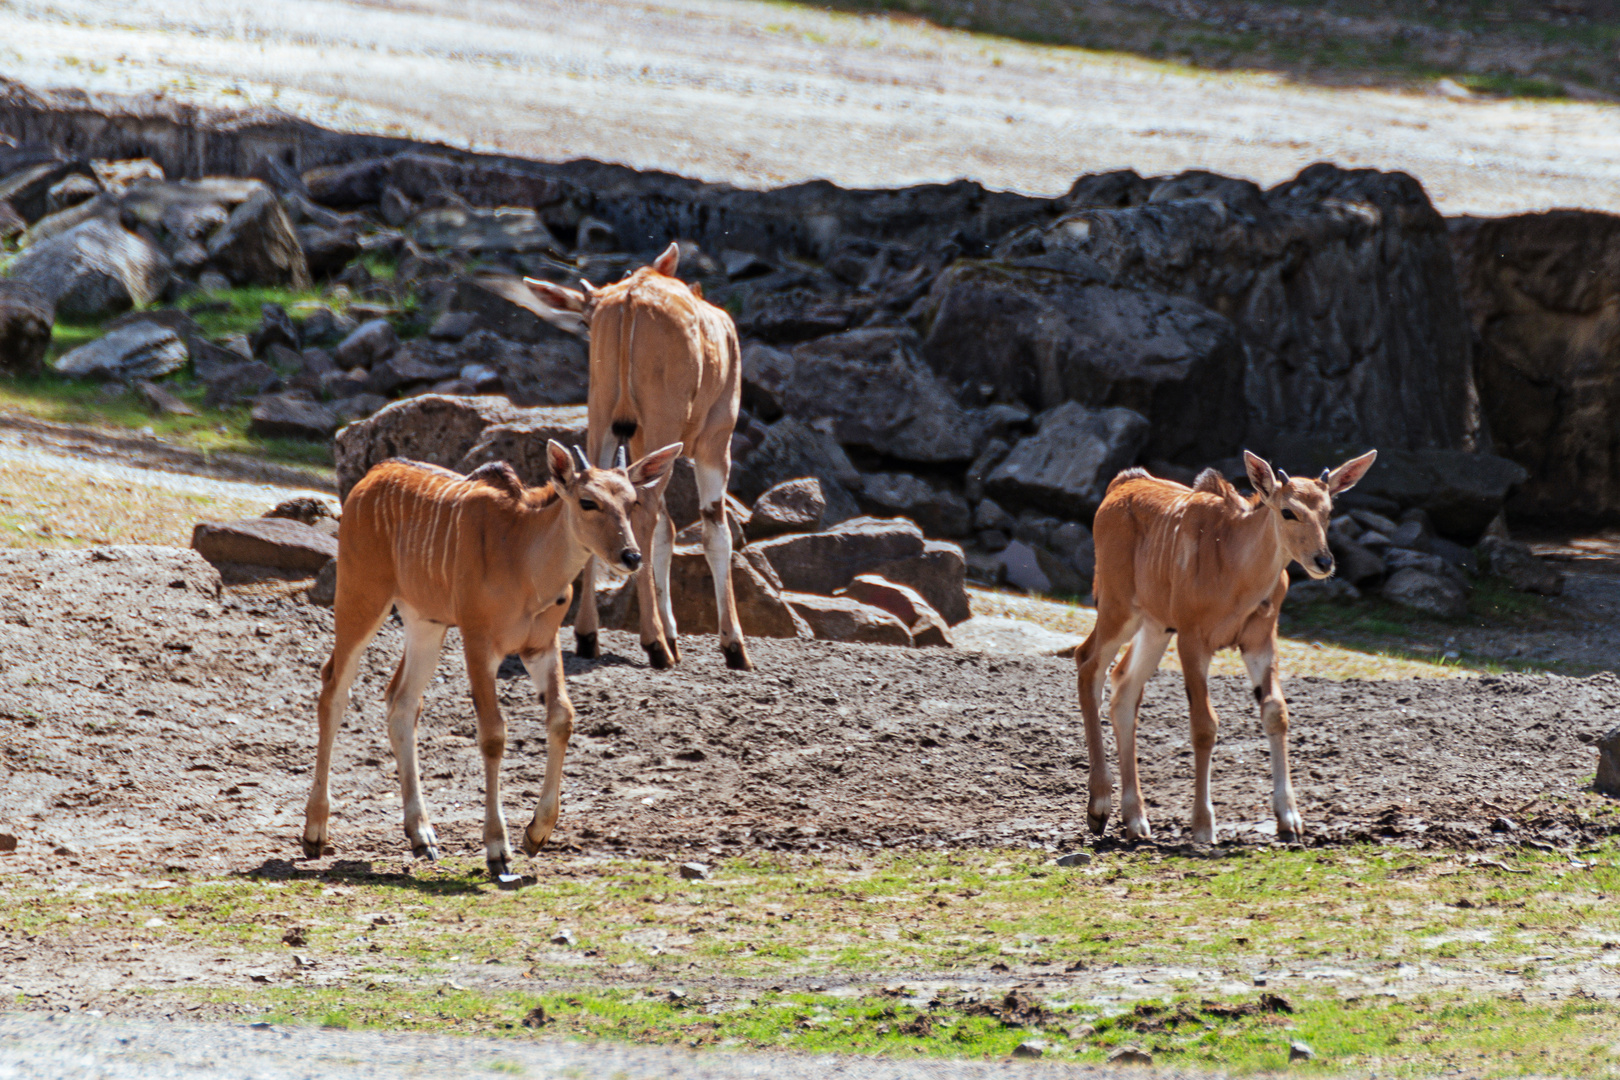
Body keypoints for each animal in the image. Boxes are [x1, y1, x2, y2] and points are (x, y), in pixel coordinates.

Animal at [301, 440, 680, 880]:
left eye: (632, 501)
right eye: (588, 501)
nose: (631, 556)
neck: (524, 560)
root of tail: (371, 478)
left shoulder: (541, 646)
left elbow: (562, 717)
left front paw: (536, 834)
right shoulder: (479, 642)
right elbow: (494, 734)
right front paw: (498, 848)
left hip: (424, 621)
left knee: (401, 701)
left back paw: (422, 836)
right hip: (361, 595)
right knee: (333, 687)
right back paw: (315, 833)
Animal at [524, 241, 751, 670]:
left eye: (584, 322)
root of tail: (631, 299)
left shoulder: (639, 445)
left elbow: (664, 530)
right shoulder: (716, 439)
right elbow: (713, 531)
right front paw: (733, 646)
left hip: (603, 418)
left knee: (602, 496)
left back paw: (589, 634)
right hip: (665, 422)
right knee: (646, 517)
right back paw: (655, 643)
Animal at [1075, 446, 1380, 841]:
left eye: (1328, 512)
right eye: (1288, 510)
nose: (1323, 561)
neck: (1235, 569)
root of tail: (1121, 485)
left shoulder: (1259, 640)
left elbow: (1276, 712)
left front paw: (1290, 819)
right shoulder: (1192, 640)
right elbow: (1204, 725)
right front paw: (1203, 826)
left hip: (1155, 626)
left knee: (1124, 687)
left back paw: (1135, 819)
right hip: (1119, 608)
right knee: (1088, 663)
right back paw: (1099, 807)